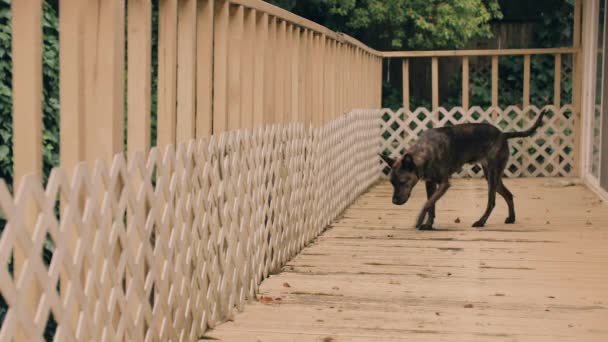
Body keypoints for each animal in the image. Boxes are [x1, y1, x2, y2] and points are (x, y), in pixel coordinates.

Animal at [380, 109, 548, 231]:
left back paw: (481, 221)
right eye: (392, 183)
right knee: (509, 195)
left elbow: (427, 203)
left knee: (492, 202)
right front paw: (428, 224)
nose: (394, 202)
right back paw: (511, 218)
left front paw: (420, 220)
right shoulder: (430, 183)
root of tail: (503, 134)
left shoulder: (444, 184)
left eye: (403, 182)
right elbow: (431, 205)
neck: (426, 150)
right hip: (493, 177)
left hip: (492, 176)